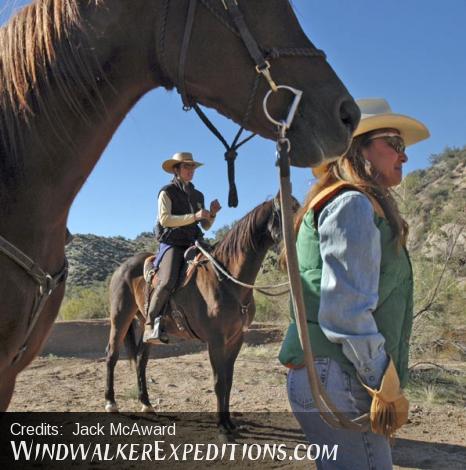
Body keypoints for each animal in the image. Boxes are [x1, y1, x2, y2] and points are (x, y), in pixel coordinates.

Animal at [106, 196, 294, 434]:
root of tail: (122, 267)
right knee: (112, 355)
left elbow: (228, 380)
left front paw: (229, 421)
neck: (227, 281)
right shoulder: (215, 340)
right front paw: (222, 425)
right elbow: (218, 381)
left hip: (145, 326)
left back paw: (146, 404)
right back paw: (111, 403)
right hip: (120, 318)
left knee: (141, 360)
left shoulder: (236, 339)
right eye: (286, 212)